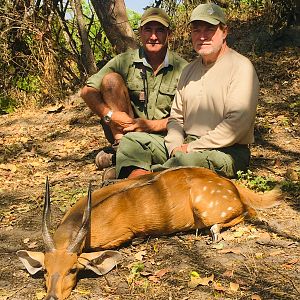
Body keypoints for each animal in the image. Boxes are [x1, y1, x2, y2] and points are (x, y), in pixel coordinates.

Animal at [17, 168, 282, 298]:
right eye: (45, 270)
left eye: (73, 270)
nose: (51, 297)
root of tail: (231, 185)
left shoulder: (122, 235)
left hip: (208, 207)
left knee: (248, 212)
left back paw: (215, 232)